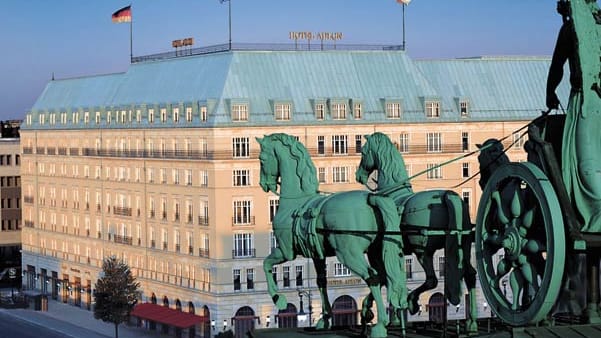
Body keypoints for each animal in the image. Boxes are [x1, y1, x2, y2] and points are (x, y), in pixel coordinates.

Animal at [255, 133, 406, 336]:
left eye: (262, 159)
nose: (264, 185)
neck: (296, 202)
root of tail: (370, 197)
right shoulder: (317, 255)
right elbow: (321, 282)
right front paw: (325, 318)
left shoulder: (286, 251)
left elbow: (266, 264)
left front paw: (278, 298)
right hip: (375, 251)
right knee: (384, 276)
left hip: (348, 254)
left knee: (373, 277)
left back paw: (380, 324)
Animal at [356, 131, 478, 332]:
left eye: (364, 151)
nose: (359, 176)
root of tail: (448, 195)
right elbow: (387, 279)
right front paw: (394, 316)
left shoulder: (377, 253)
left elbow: (382, 278)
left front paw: (370, 310)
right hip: (463, 247)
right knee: (469, 274)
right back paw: (472, 322)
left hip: (422, 251)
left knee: (432, 280)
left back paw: (412, 301)